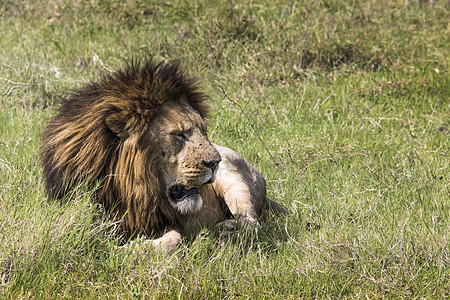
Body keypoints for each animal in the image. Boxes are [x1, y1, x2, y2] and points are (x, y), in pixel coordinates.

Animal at [42, 58, 288, 251]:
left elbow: (174, 240)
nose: (214, 162)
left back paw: (225, 232)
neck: (134, 189)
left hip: (236, 181)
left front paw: (131, 249)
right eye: (179, 135)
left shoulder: (166, 221)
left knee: (252, 224)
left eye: (203, 131)